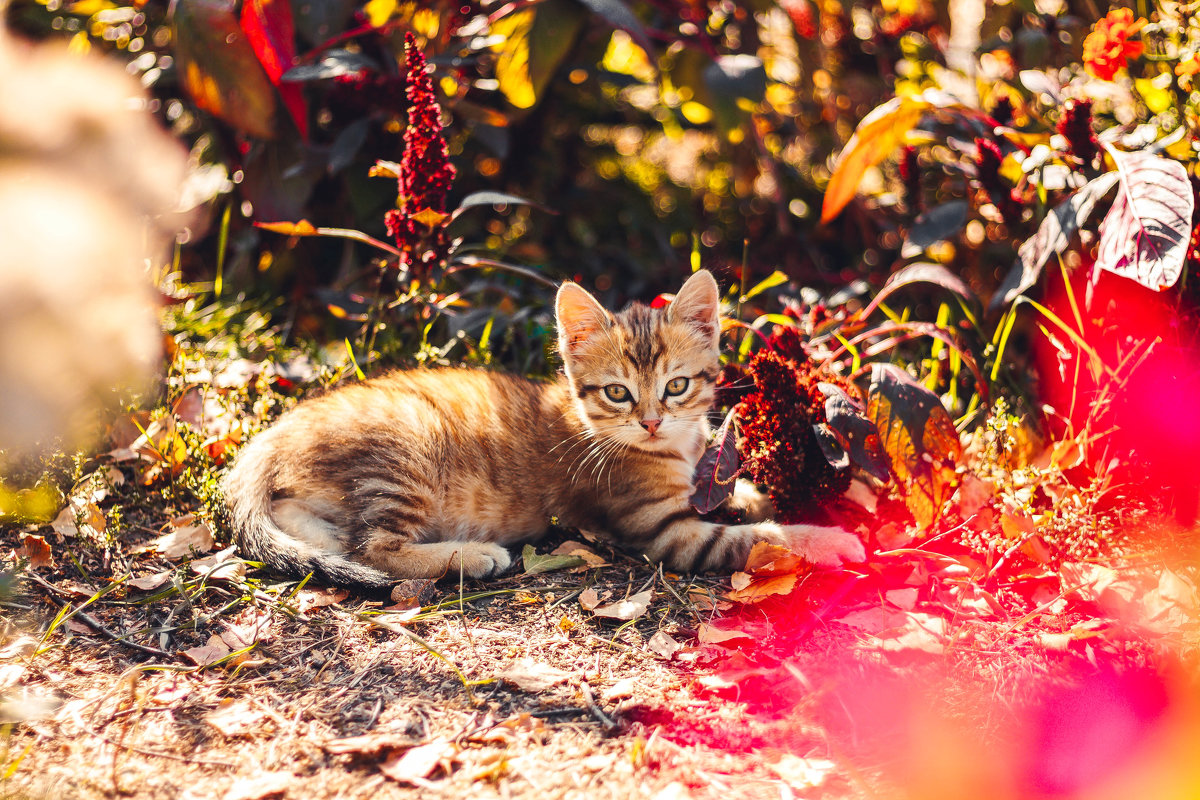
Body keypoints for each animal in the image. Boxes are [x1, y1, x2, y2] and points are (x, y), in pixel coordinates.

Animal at [223, 268, 864, 587]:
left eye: (676, 386)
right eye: (617, 392)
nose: (652, 422)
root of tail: (274, 433)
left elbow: (729, 494)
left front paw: (752, 490)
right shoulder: (667, 533)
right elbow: (761, 538)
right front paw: (828, 538)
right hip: (404, 455)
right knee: (374, 548)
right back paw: (472, 556)